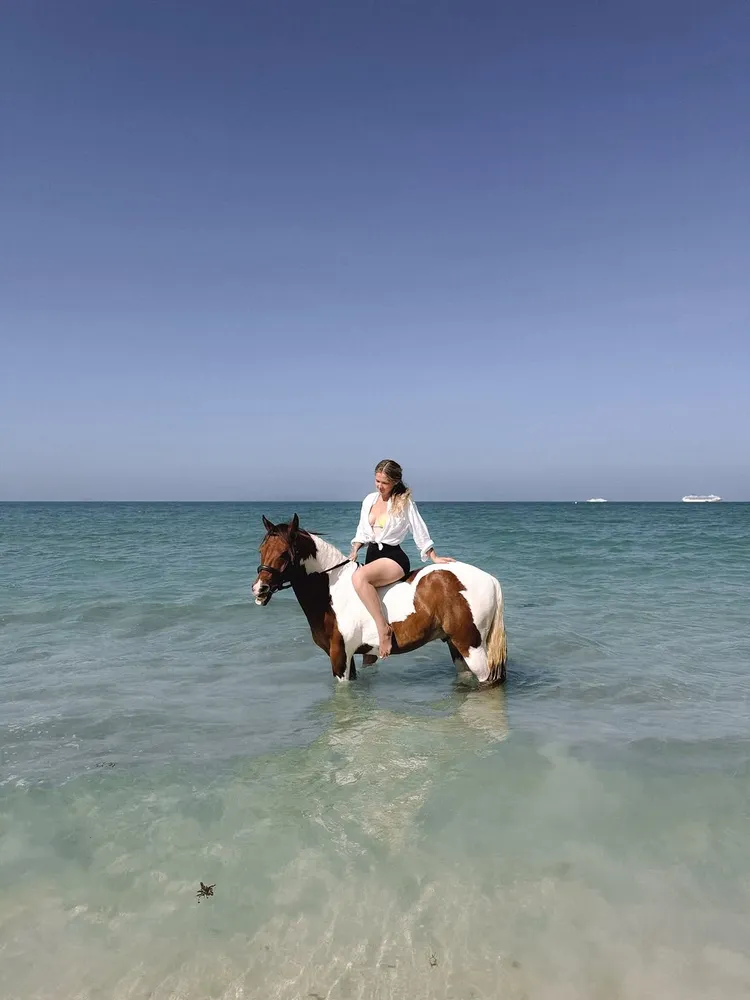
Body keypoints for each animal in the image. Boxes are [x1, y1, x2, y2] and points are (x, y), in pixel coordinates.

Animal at [252, 515, 507, 687]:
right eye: (261, 549)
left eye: (285, 553)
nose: (259, 589)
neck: (331, 590)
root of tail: (490, 579)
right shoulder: (350, 658)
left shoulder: (339, 657)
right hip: (455, 646)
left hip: (471, 647)